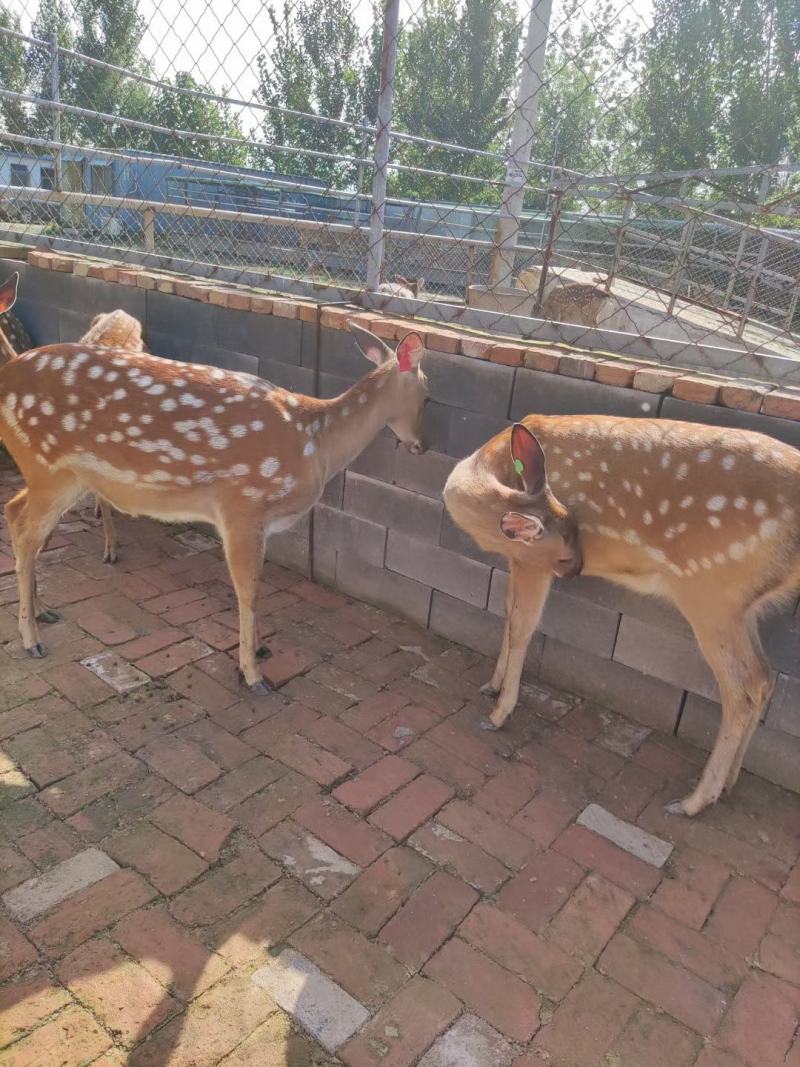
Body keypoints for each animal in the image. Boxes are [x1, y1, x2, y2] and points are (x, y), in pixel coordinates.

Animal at [0, 271, 429, 693]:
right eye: (427, 394)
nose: (421, 445)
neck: (315, 442)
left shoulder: (259, 521)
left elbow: (256, 584)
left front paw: (260, 650)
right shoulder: (242, 507)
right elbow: (247, 587)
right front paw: (252, 673)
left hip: (58, 475)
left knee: (17, 514)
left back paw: (42, 612)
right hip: (49, 467)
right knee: (22, 527)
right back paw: (31, 639)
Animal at [444, 414, 800, 816]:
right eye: (568, 548)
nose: (578, 570)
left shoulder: (531, 562)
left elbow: (522, 626)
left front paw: (499, 712)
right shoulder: (518, 558)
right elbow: (507, 614)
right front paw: (492, 685)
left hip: (710, 591)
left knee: (743, 686)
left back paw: (692, 801)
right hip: (741, 605)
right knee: (765, 677)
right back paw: (729, 783)